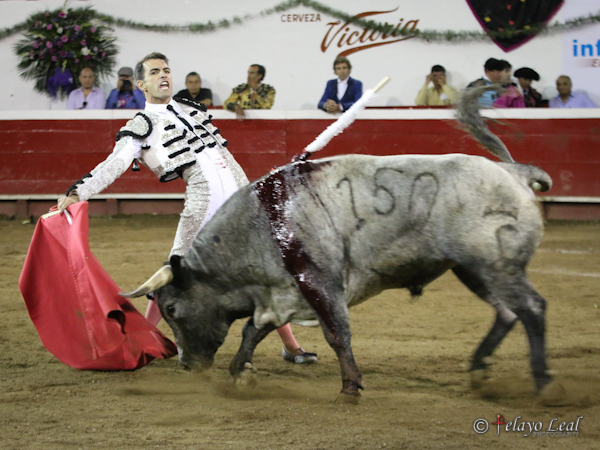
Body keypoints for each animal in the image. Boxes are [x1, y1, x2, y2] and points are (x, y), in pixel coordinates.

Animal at [123, 86, 553, 403]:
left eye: (172, 308)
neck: (262, 224)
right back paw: (480, 371)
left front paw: (350, 388)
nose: (186, 364)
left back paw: (545, 384)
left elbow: (336, 333)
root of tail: (513, 171)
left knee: (531, 308)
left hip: (496, 264)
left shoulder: (320, 283)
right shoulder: (282, 291)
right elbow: (254, 328)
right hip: (473, 269)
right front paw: (241, 371)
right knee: (507, 312)